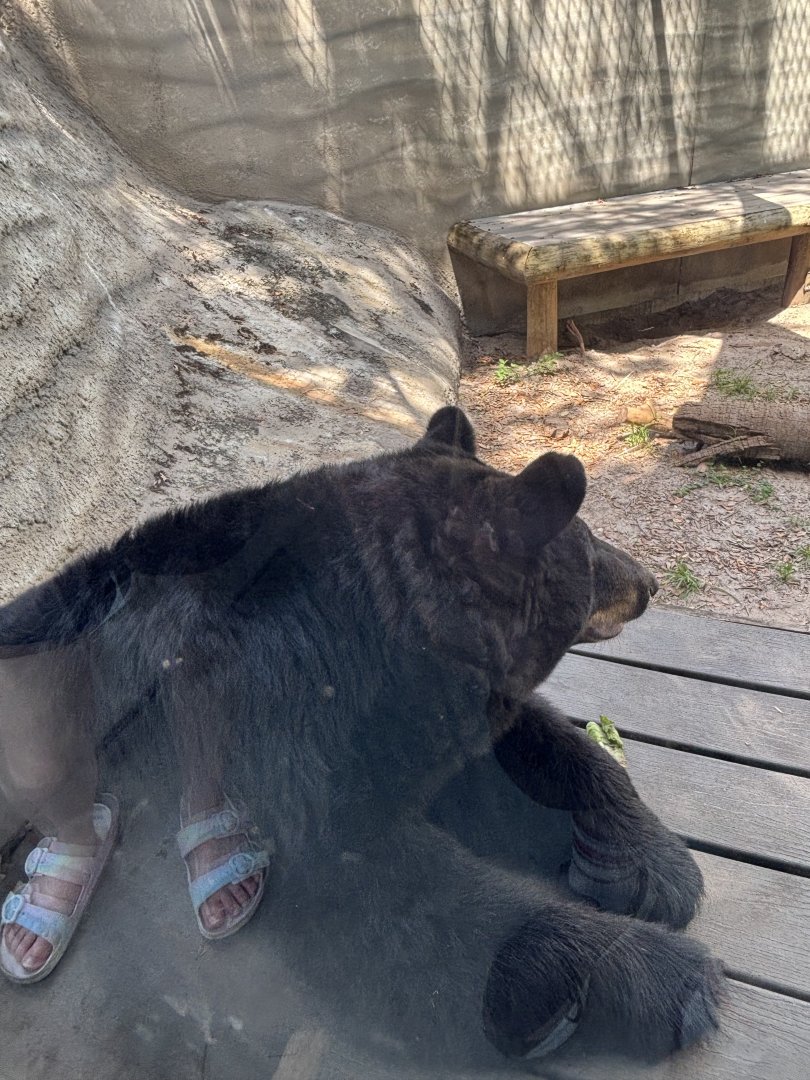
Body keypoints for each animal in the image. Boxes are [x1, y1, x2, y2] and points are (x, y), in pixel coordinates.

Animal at [0, 406, 723, 1068]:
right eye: (593, 545)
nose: (650, 583)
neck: (364, 634)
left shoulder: (418, 711)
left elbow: (523, 750)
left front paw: (651, 864)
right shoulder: (280, 713)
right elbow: (379, 891)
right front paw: (666, 978)